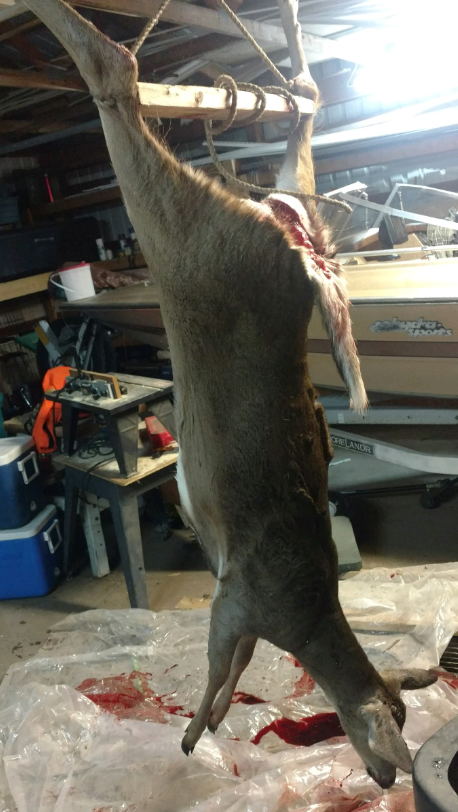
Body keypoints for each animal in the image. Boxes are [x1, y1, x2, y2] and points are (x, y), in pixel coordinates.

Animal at [24, 0, 437, 790]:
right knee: (115, 73)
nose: (387, 778)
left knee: (300, 107)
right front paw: (193, 731)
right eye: (386, 736)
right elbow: (222, 661)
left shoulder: (239, 603)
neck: (306, 620)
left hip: (221, 230)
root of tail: (300, 242)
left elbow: (239, 664)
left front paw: (212, 724)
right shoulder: (239, 598)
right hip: (192, 240)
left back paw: (295, 45)